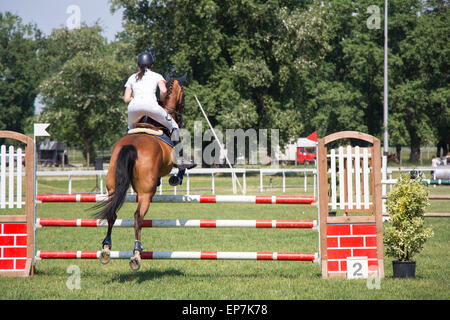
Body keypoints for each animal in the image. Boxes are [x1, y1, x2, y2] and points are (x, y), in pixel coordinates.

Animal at [94, 74, 187, 270]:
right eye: (183, 95)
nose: (181, 116)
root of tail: (131, 146)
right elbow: (181, 166)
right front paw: (176, 178)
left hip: (112, 186)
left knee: (112, 214)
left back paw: (106, 248)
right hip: (145, 193)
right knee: (138, 217)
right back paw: (136, 254)